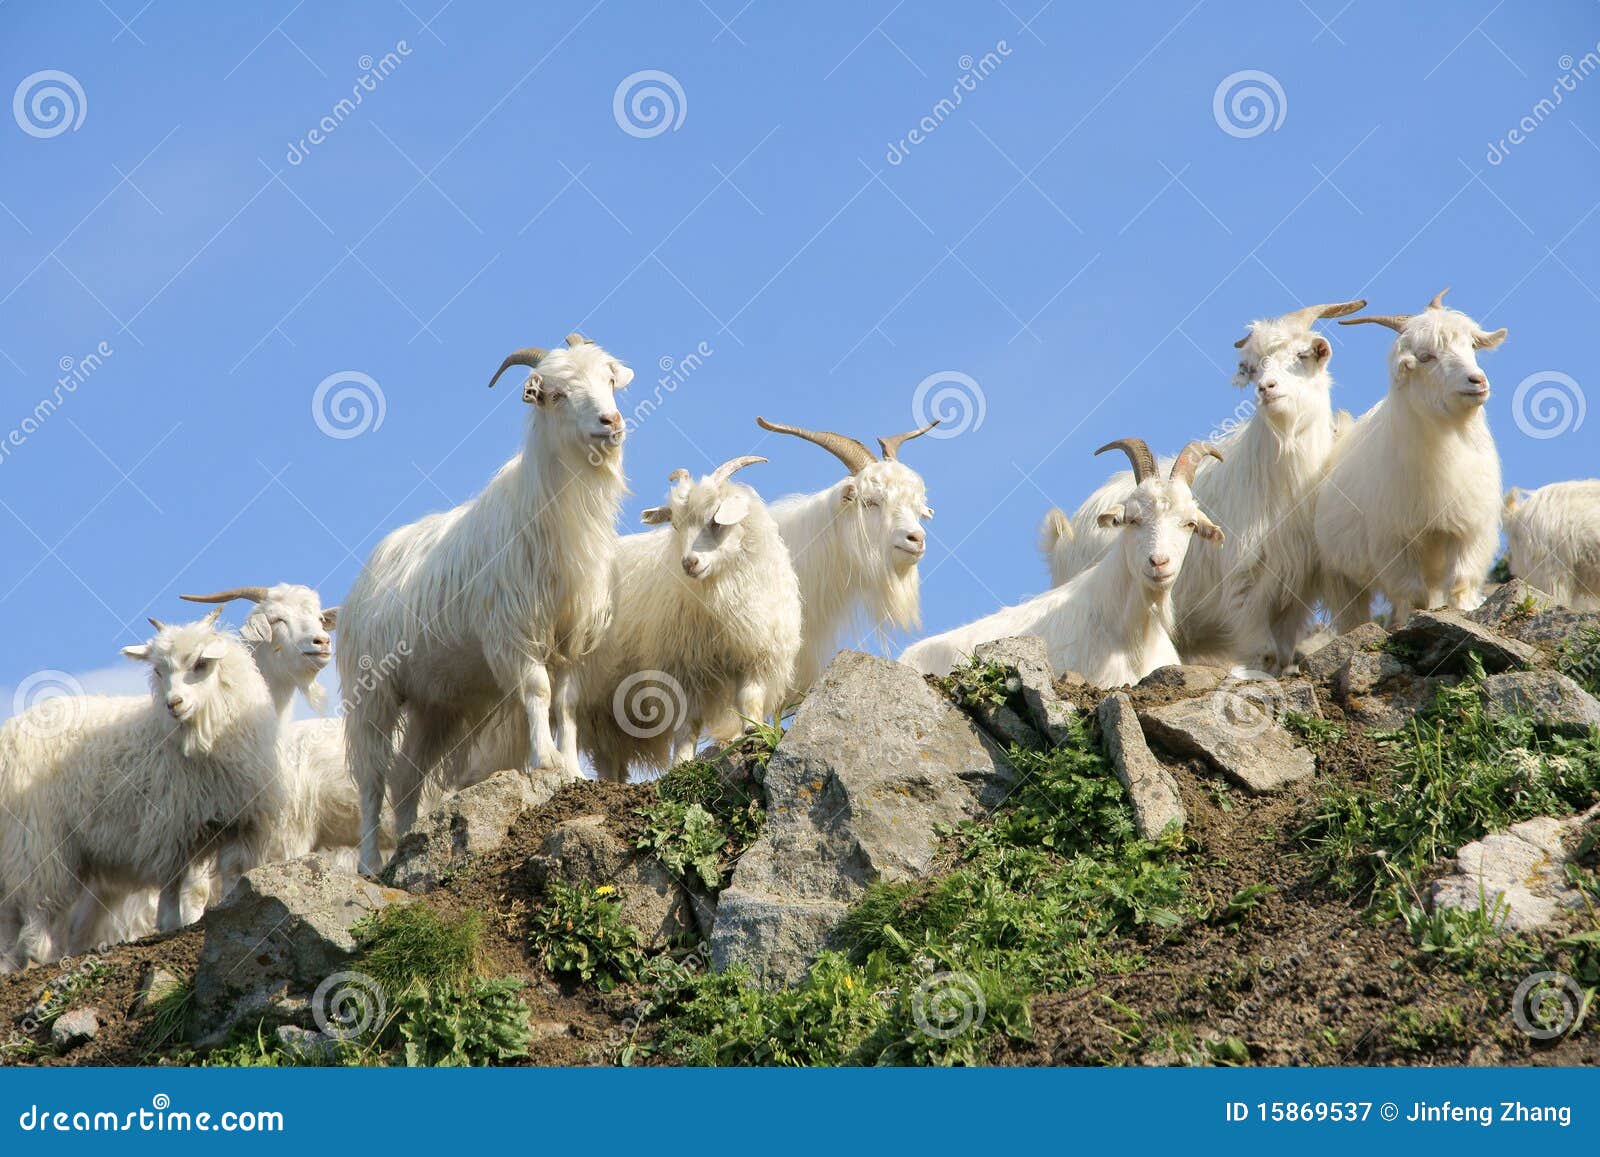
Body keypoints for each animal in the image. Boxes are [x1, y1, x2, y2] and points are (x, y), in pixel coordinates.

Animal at [0, 614, 284, 970]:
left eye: (201, 663)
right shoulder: (170, 828)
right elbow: (172, 882)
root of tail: (10, 732)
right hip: (37, 839)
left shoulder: (239, 823)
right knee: (35, 905)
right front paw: (169, 924)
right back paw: (39, 955)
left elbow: (230, 875)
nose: (174, 703)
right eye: (158, 670)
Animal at [338, 333, 631, 873]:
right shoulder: (514, 633)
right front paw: (544, 761)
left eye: (609, 379)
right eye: (556, 393)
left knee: (406, 777)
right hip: (373, 691)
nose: (610, 422)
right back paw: (370, 861)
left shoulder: (571, 639)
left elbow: (566, 704)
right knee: (372, 778)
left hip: (436, 704)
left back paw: (406, 846)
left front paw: (572, 766)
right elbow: (537, 692)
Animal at [576, 455, 803, 780]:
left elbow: (750, 702)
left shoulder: (755, 655)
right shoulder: (684, 667)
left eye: (715, 521)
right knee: (604, 754)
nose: (689, 563)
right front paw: (681, 765)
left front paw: (754, 736)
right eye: (675, 524)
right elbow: (688, 725)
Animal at [1038, 299, 1366, 672]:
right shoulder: (1243, 592)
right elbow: (1263, 654)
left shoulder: (1293, 593)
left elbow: (1281, 655)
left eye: (1303, 354)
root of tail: (1063, 536)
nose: (1266, 388)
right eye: (1255, 367)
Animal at [1316, 289, 1507, 631]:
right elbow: (1411, 592)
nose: (1477, 381)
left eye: (1472, 346)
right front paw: (1406, 622)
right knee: (1352, 612)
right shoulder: (1394, 542)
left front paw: (1466, 610)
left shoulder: (1469, 529)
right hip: (1338, 573)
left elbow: (1461, 580)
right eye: (1426, 357)